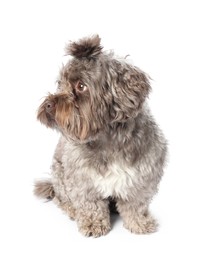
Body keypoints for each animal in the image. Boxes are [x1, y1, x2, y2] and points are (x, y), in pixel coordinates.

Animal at [33, 35, 167, 238]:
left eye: (81, 86)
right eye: (60, 84)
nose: (48, 104)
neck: (109, 140)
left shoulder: (143, 174)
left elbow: (135, 204)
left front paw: (139, 223)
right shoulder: (82, 178)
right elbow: (91, 204)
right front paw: (93, 223)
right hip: (59, 174)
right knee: (61, 198)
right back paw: (72, 209)